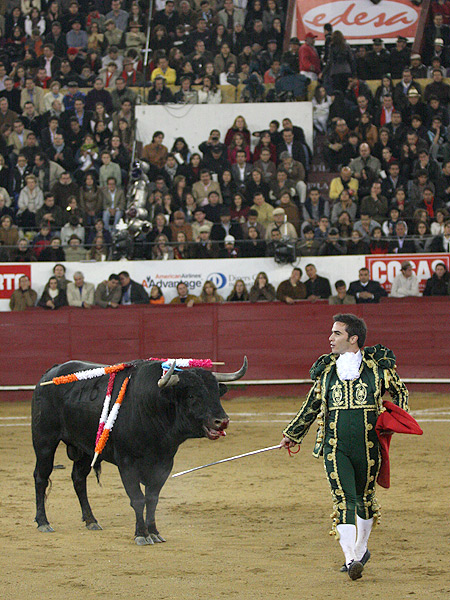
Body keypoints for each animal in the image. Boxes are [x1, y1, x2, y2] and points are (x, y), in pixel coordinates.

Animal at [32, 357, 247, 544]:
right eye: (192, 395)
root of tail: (49, 374)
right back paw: (43, 522)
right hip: (44, 441)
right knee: (41, 476)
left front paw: (154, 532)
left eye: (216, 393)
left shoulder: (164, 463)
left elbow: (152, 499)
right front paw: (141, 535)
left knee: (78, 479)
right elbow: (137, 499)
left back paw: (91, 520)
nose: (222, 421)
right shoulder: (127, 463)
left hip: (85, 449)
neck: (153, 407)